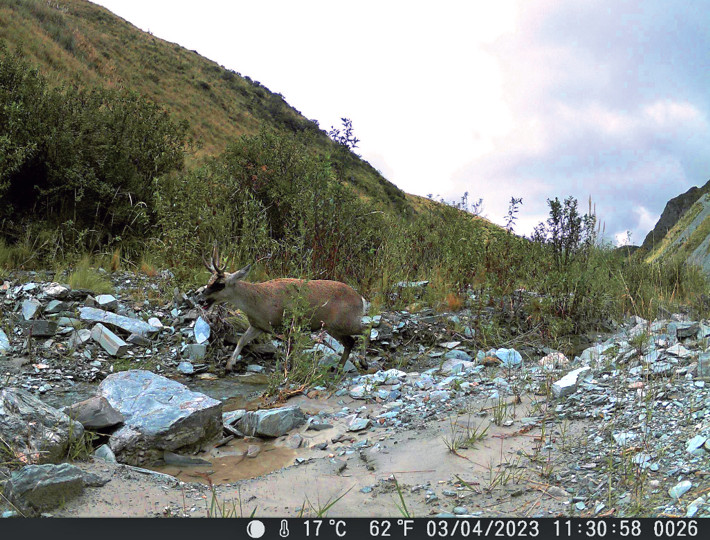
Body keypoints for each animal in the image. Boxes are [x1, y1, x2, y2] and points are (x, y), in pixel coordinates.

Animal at [199, 247, 370, 374]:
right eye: (209, 281)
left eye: (220, 284)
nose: (200, 299)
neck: (259, 302)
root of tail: (361, 299)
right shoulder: (258, 325)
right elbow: (242, 340)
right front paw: (229, 365)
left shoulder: (290, 324)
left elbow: (291, 350)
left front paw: (289, 371)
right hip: (332, 327)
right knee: (350, 341)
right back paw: (339, 368)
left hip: (345, 321)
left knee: (367, 329)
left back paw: (363, 361)